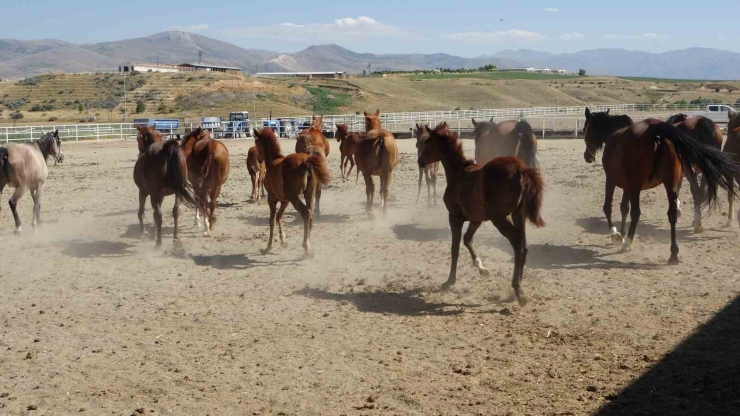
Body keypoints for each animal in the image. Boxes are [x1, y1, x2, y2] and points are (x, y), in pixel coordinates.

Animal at [251, 127, 330, 256]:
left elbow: (272, 220)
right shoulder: (285, 200)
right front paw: (283, 241)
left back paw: (306, 247)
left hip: (295, 197)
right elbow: (279, 216)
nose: (258, 159)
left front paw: (268, 247)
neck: (273, 161)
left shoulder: (272, 198)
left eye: (256, 143)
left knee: (306, 213)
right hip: (309, 195)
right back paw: (308, 245)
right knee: (310, 215)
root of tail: (306, 162)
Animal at [420, 121, 548, 306]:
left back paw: (518, 290)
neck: (459, 172)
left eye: (428, 143)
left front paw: (449, 281)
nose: (420, 161)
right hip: (518, 216)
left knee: (517, 243)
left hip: (500, 218)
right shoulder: (476, 219)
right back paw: (517, 289)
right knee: (523, 246)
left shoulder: (455, 217)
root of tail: (521, 170)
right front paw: (482, 268)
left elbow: (455, 248)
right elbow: (467, 239)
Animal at [584, 107, 736, 264]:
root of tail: (654, 129)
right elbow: (624, 208)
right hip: (672, 180)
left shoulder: (612, 180)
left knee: (637, 212)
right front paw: (622, 231)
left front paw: (616, 234)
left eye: (586, 129)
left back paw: (628, 243)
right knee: (673, 212)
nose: (587, 156)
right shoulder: (628, 186)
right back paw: (674, 252)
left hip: (643, 183)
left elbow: (608, 207)